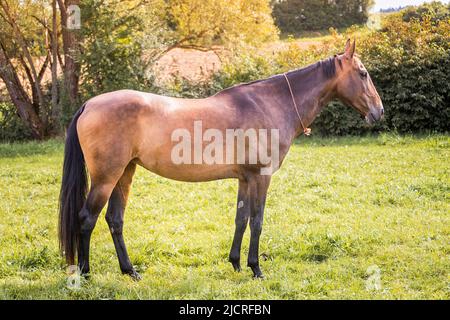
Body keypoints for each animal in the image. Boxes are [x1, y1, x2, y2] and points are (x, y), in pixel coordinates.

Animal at [59, 39, 384, 280]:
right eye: (363, 73)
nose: (379, 112)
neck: (270, 103)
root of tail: (89, 104)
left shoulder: (245, 178)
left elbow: (241, 219)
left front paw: (236, 263)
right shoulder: (261, 176)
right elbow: (257, 221)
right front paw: (256, 269)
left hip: (124, 173)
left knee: (115, 219)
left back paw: (130, 271)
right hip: (106, 178)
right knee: (87, 219)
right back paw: (86, 274)